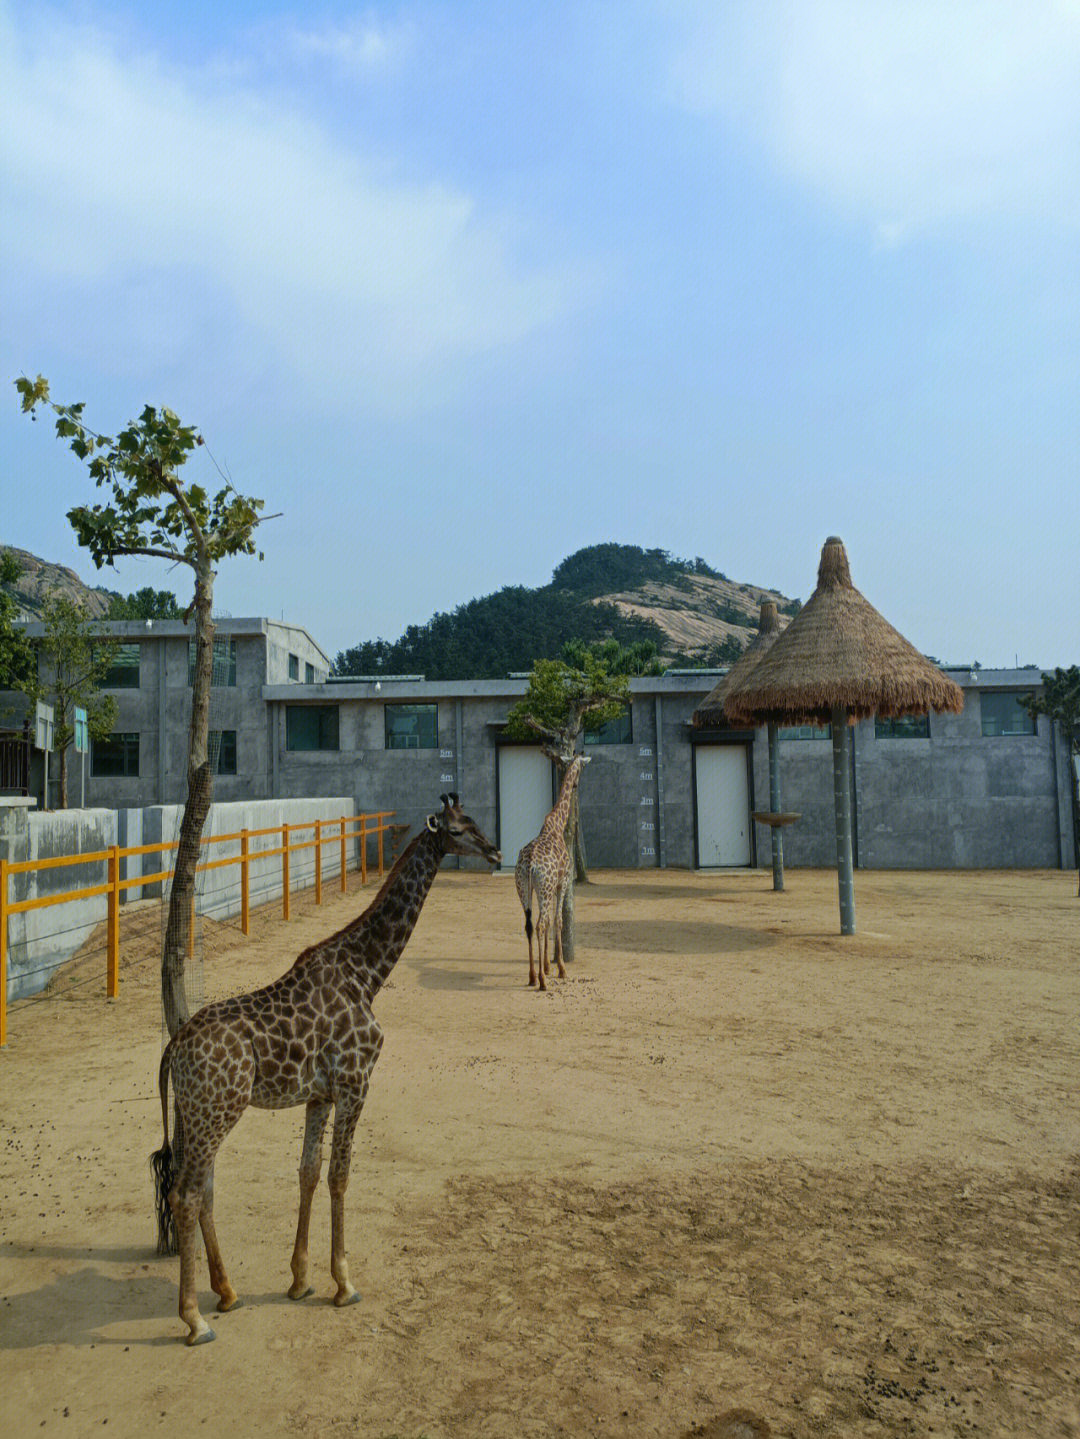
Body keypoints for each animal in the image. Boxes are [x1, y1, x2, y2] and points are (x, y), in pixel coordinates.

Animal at [150, 794, 500, 1341]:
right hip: (217, 1111)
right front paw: (344, 1283)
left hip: (195, 1114)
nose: (496, 851)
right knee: (185, 1192)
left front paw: (299, 1280)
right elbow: (340, 1174)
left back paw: (226, 1293)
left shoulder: (319, 1093)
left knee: (201, 1188)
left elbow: (308, 1172)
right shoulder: (357, 1082)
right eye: (461, 828)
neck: (368, 973)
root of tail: (175, 1047)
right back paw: (194, 1318)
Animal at [517, 754, 592, 990]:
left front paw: (548, 967)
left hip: (525, 888)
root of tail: (530, 863)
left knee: (530, 925)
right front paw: (560, 968)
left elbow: (550, 919)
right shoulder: (563, 882)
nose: (576, 784)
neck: (557, 825)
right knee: (540, 924)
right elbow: (558, 919)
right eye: (582, 768)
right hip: (545, 887)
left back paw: (533, 975)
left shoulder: (550, 887)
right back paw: (541, 981)